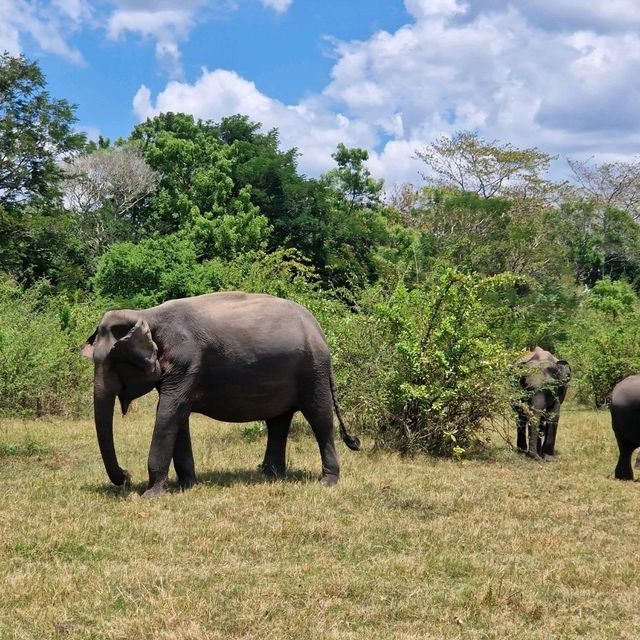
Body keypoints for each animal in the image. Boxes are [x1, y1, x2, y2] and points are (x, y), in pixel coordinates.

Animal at [80, 290, 360, 496]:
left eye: (114, 363)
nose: (126, 476)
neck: (147, 314)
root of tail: (318, 328)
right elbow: (177, 415)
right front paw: (186, 486)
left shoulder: (187, 362)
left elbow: (169, 411)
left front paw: (151, 495)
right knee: (278, 421)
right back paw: (270, 474)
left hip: (313, 372)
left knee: (319, 418)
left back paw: (327, 482)